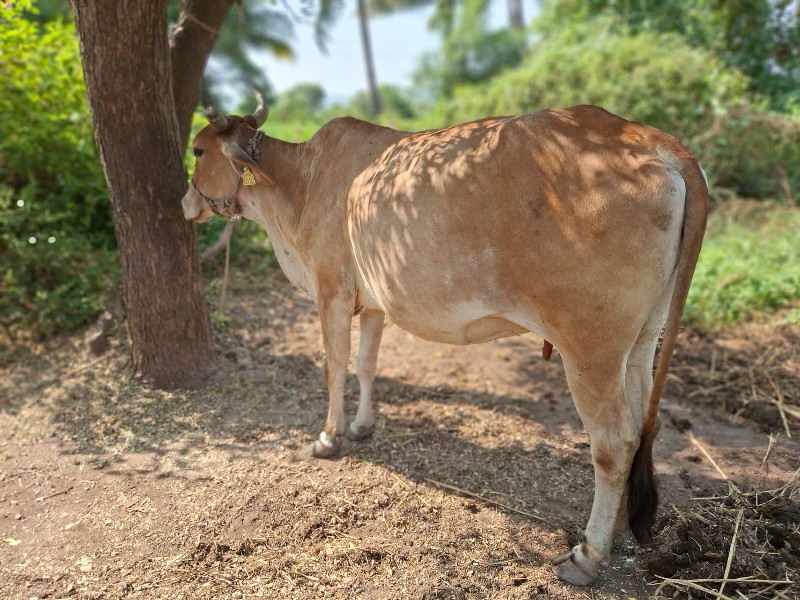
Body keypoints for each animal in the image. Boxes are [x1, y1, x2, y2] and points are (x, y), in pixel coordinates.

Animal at [180, 98, 708, 584]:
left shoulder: (332, 292)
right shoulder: (374, 305)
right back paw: (616, 533)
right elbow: (366, 366)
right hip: (641, 340)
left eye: (198, 149)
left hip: (589, 350)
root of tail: (649, 138)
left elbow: (334, 368)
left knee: (614, 441)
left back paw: (588, 555)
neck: (300, 181)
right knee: (643, 425)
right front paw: (362, 426)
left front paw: (329, 438)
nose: (185, 203)